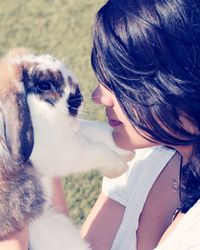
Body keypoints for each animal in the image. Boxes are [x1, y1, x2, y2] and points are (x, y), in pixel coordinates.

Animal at [0, 47, 134, 249]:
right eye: (45, 85)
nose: (79, 97)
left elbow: (94, 131)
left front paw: (126, 151)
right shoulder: (65, 151)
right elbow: (95, 152)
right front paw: (118, 168)